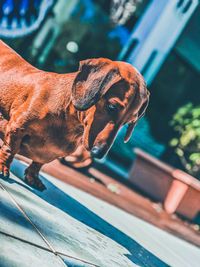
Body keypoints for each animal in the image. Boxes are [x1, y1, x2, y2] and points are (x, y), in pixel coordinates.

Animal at [0, 39, 148, 191]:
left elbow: (38, 163)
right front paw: (3, 168)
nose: (98, 153)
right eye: (112, 107)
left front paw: (33, 177)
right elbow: (10, 149)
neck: (66, 119)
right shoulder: (16, 128)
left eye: (128, 122)